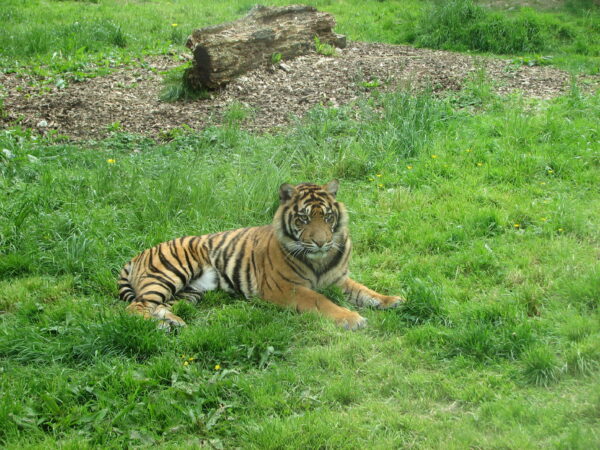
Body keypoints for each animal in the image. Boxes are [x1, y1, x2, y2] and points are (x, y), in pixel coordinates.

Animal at [118, 180, 404, 330]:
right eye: (303, 219)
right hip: (170, 274)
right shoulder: (286, 288)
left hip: (190, 292)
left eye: (327, 217)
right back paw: (162, 325)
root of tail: (138, 254)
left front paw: (392, 300)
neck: (320, 260)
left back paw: (175, 321)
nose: (322, 242)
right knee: (136, 307)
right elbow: (321, 302)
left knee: (157, 306)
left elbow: (365, 291)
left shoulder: (337, 280)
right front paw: (352, 318)